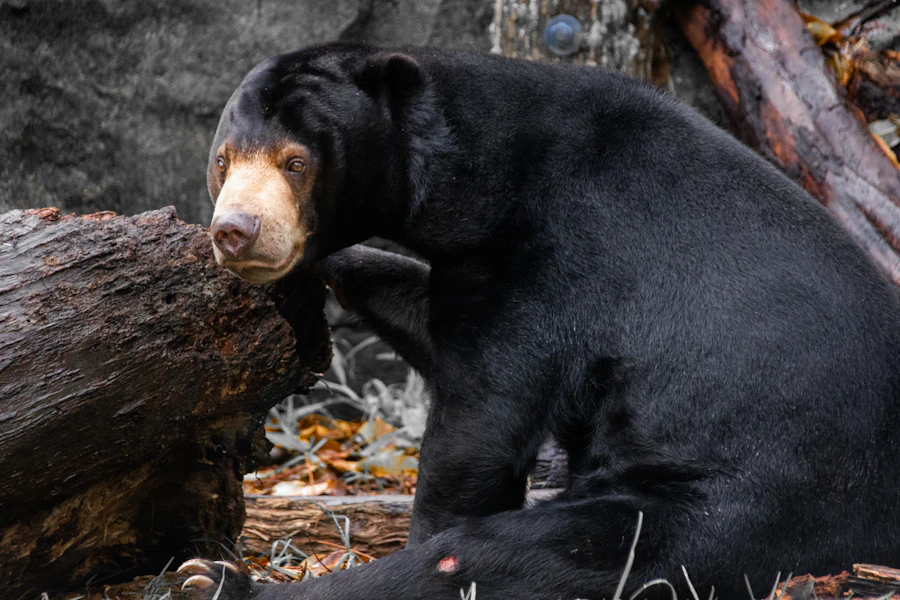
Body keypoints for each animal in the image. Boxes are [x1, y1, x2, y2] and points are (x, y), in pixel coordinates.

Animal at [178, 43, 900, 599]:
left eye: (297, 162)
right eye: (224, 160)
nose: (236, 231)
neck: (477, 175)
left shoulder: (555, 256)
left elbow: (483, 418)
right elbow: (427, 315)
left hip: (737, 502)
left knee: (502, 554)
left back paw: (215, 580)